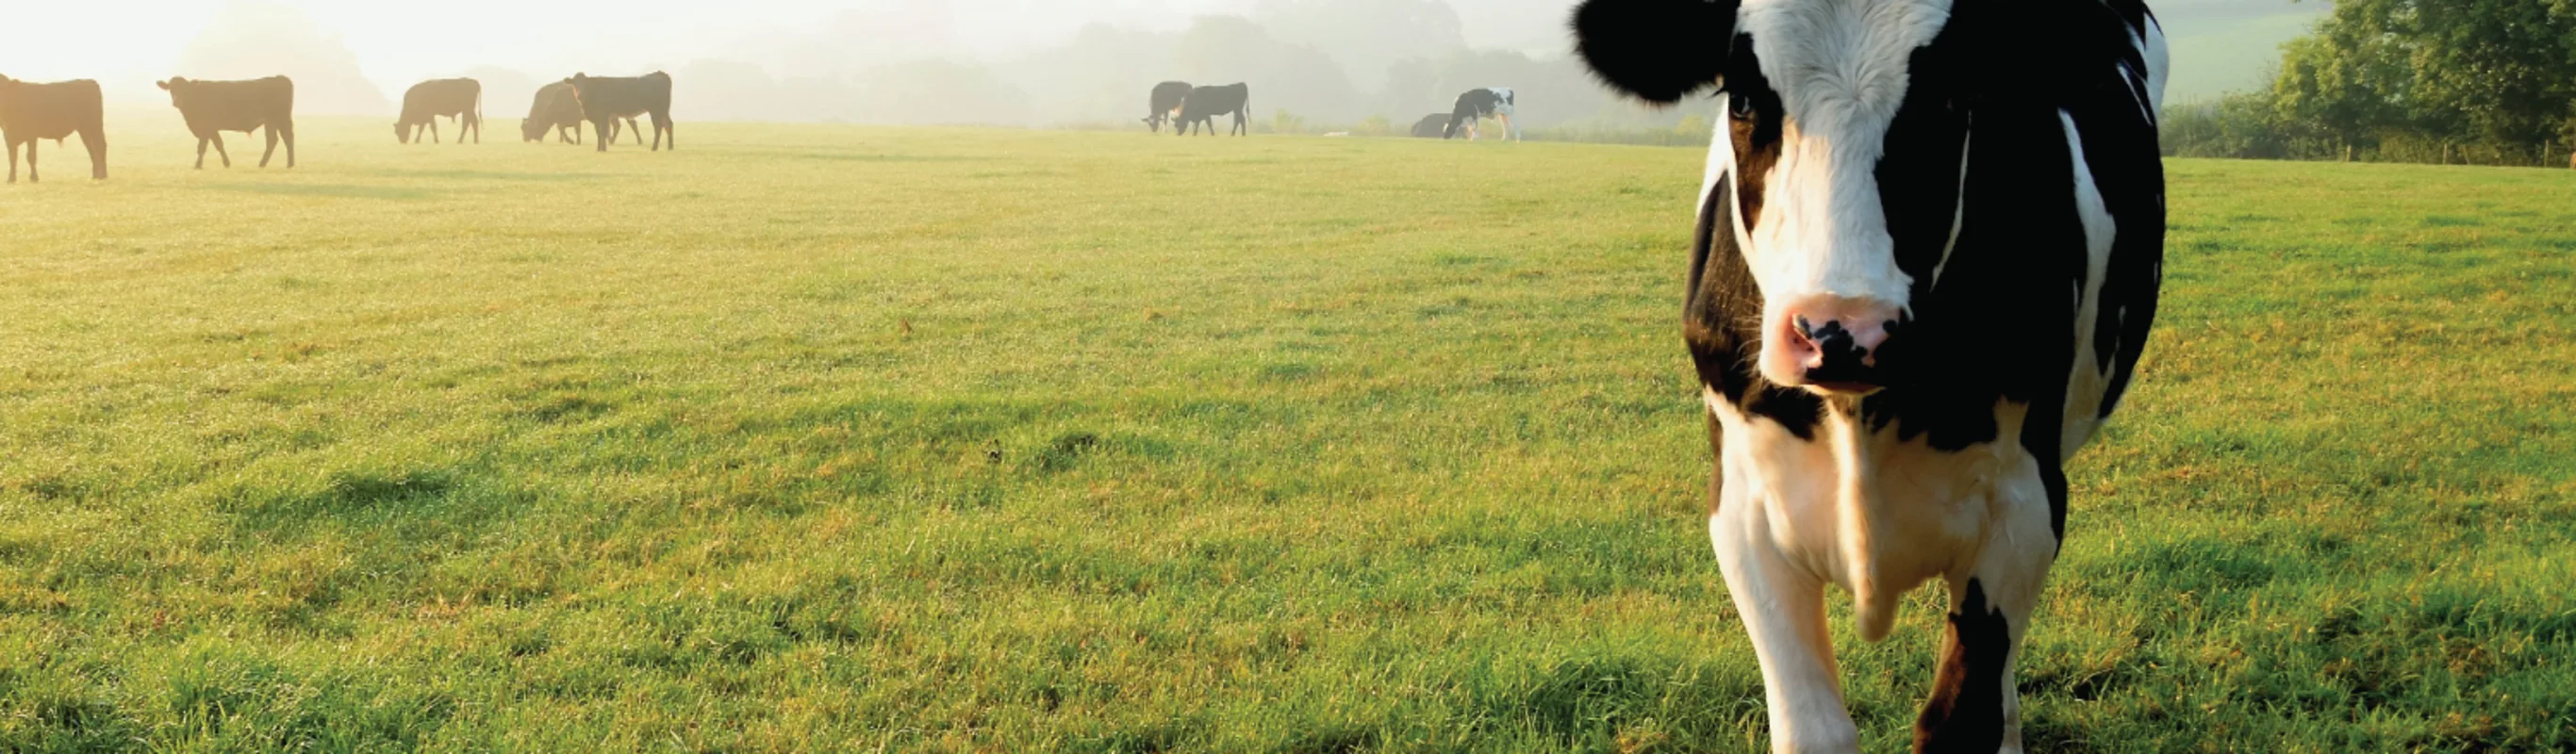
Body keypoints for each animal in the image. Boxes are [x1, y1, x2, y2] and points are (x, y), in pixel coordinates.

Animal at [1566, 0, 2173, 746]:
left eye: (1955, 97)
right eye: (1743, 98)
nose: (1842, 331)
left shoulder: (2026, 502)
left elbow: (1962, 716)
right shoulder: (1743, 505)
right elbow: (1815, 730)